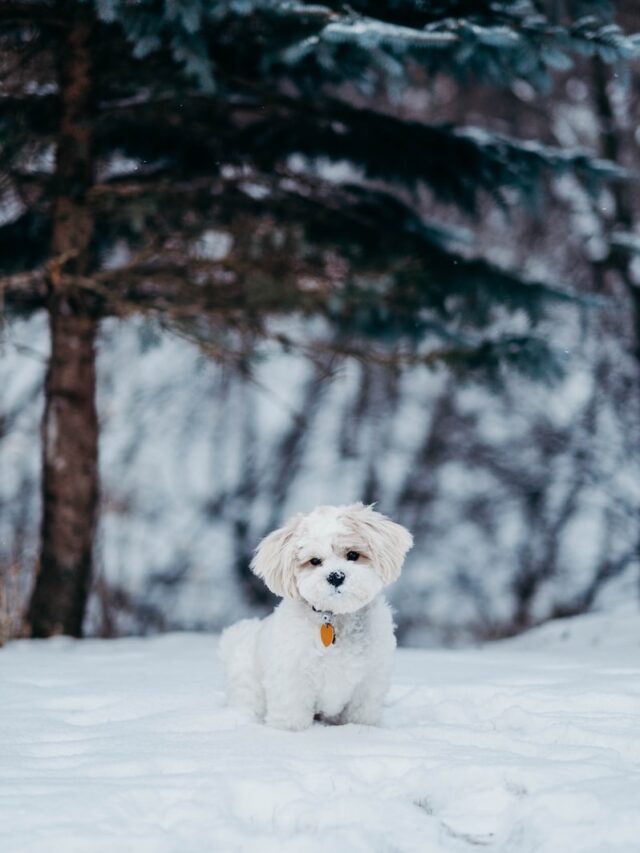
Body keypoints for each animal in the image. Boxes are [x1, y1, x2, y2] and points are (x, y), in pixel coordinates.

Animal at [218, 502, 412, 728]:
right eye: (315, 561)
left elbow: (361, 715)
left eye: (353, 555)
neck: (335, 617)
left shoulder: (369, 682)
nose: (336, 576)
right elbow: (291, 712)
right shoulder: (291, 677)